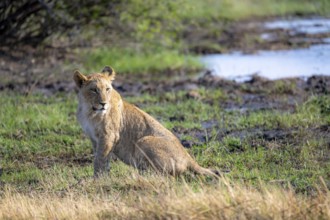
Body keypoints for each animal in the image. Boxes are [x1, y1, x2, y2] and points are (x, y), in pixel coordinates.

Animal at [74, 66, 219, 178]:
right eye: (94, 90)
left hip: (144, 140)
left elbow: (100, 159)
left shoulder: (109, 136)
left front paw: (97, 179)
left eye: (107, 89)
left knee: (163, 175)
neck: (89, 111)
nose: (103, 103)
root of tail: (188, 158)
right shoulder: (94, 138)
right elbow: (102, 158)